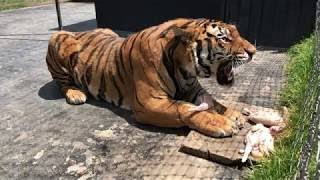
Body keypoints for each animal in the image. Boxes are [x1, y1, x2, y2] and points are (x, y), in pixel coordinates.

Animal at [45, 17, 256, 136]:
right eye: (224, 38)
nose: (253, 52)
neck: (184, 67)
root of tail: (81, 31)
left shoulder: (193, 88)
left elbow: (215, 102)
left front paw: (233, 114)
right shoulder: (149, 102)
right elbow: (185, 109)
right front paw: (221, 123)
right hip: (58, 40)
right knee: (62, 83)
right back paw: (75, 94)